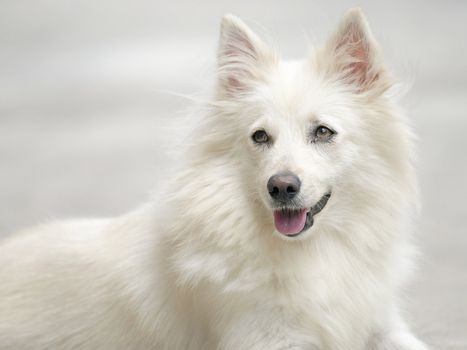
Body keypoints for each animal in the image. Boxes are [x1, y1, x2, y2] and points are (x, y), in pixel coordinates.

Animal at [0, 8, 432, 350]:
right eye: (260, 137)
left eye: (323, 132)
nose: (281, 187)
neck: (311, 252)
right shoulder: (267, 339)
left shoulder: (383, 326)